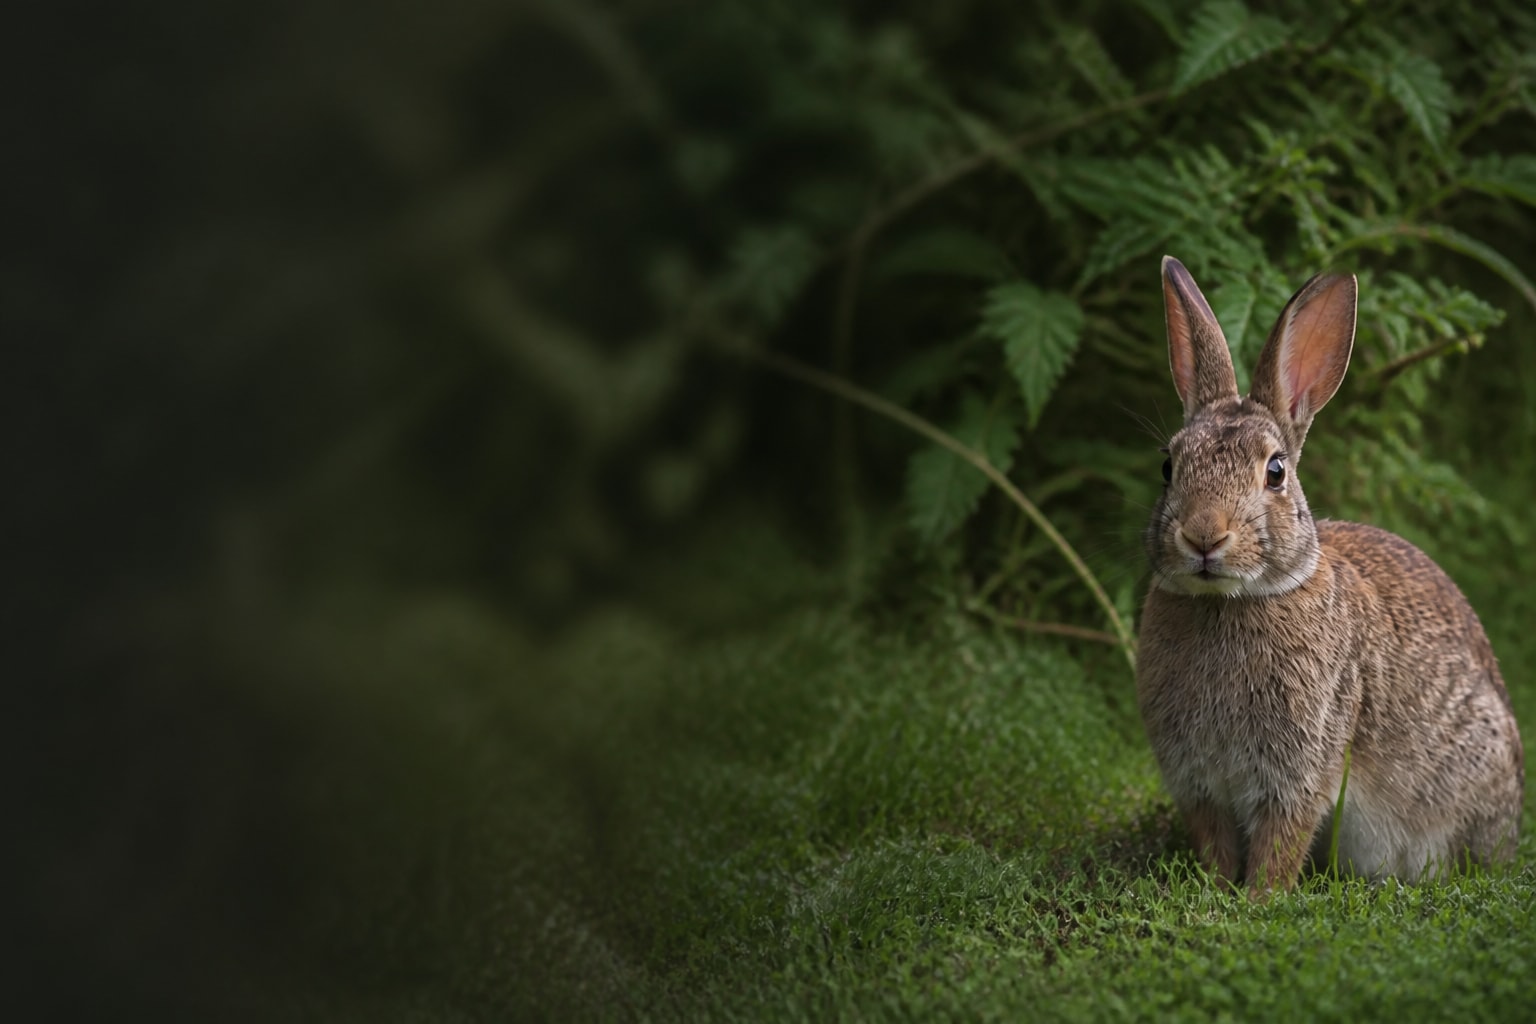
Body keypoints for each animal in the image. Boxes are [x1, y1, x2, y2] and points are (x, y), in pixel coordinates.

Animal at [1136, 256, 1524, 896]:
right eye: (1169, 466)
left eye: (1275, 472)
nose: (1203, 536)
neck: (1229, 601)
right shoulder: (1197, 781)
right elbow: (1214, 839)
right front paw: (1217, 888)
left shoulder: (1301, 766)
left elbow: (1283, 837)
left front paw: (1258, 899)